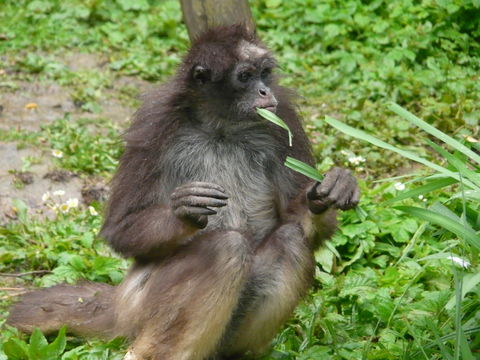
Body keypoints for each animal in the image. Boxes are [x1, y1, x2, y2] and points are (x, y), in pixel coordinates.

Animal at [8, 25, 360, 360]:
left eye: (264, 74)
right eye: (245, 76)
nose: (264, 90)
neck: (221, 127)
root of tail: (120, 304)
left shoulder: (282, 114)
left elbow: (301, 225)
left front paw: (324, 193)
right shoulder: (154, 122)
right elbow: (119, 230)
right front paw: (185, 212)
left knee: (289, 241)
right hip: (140, 303)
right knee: (226, 247)